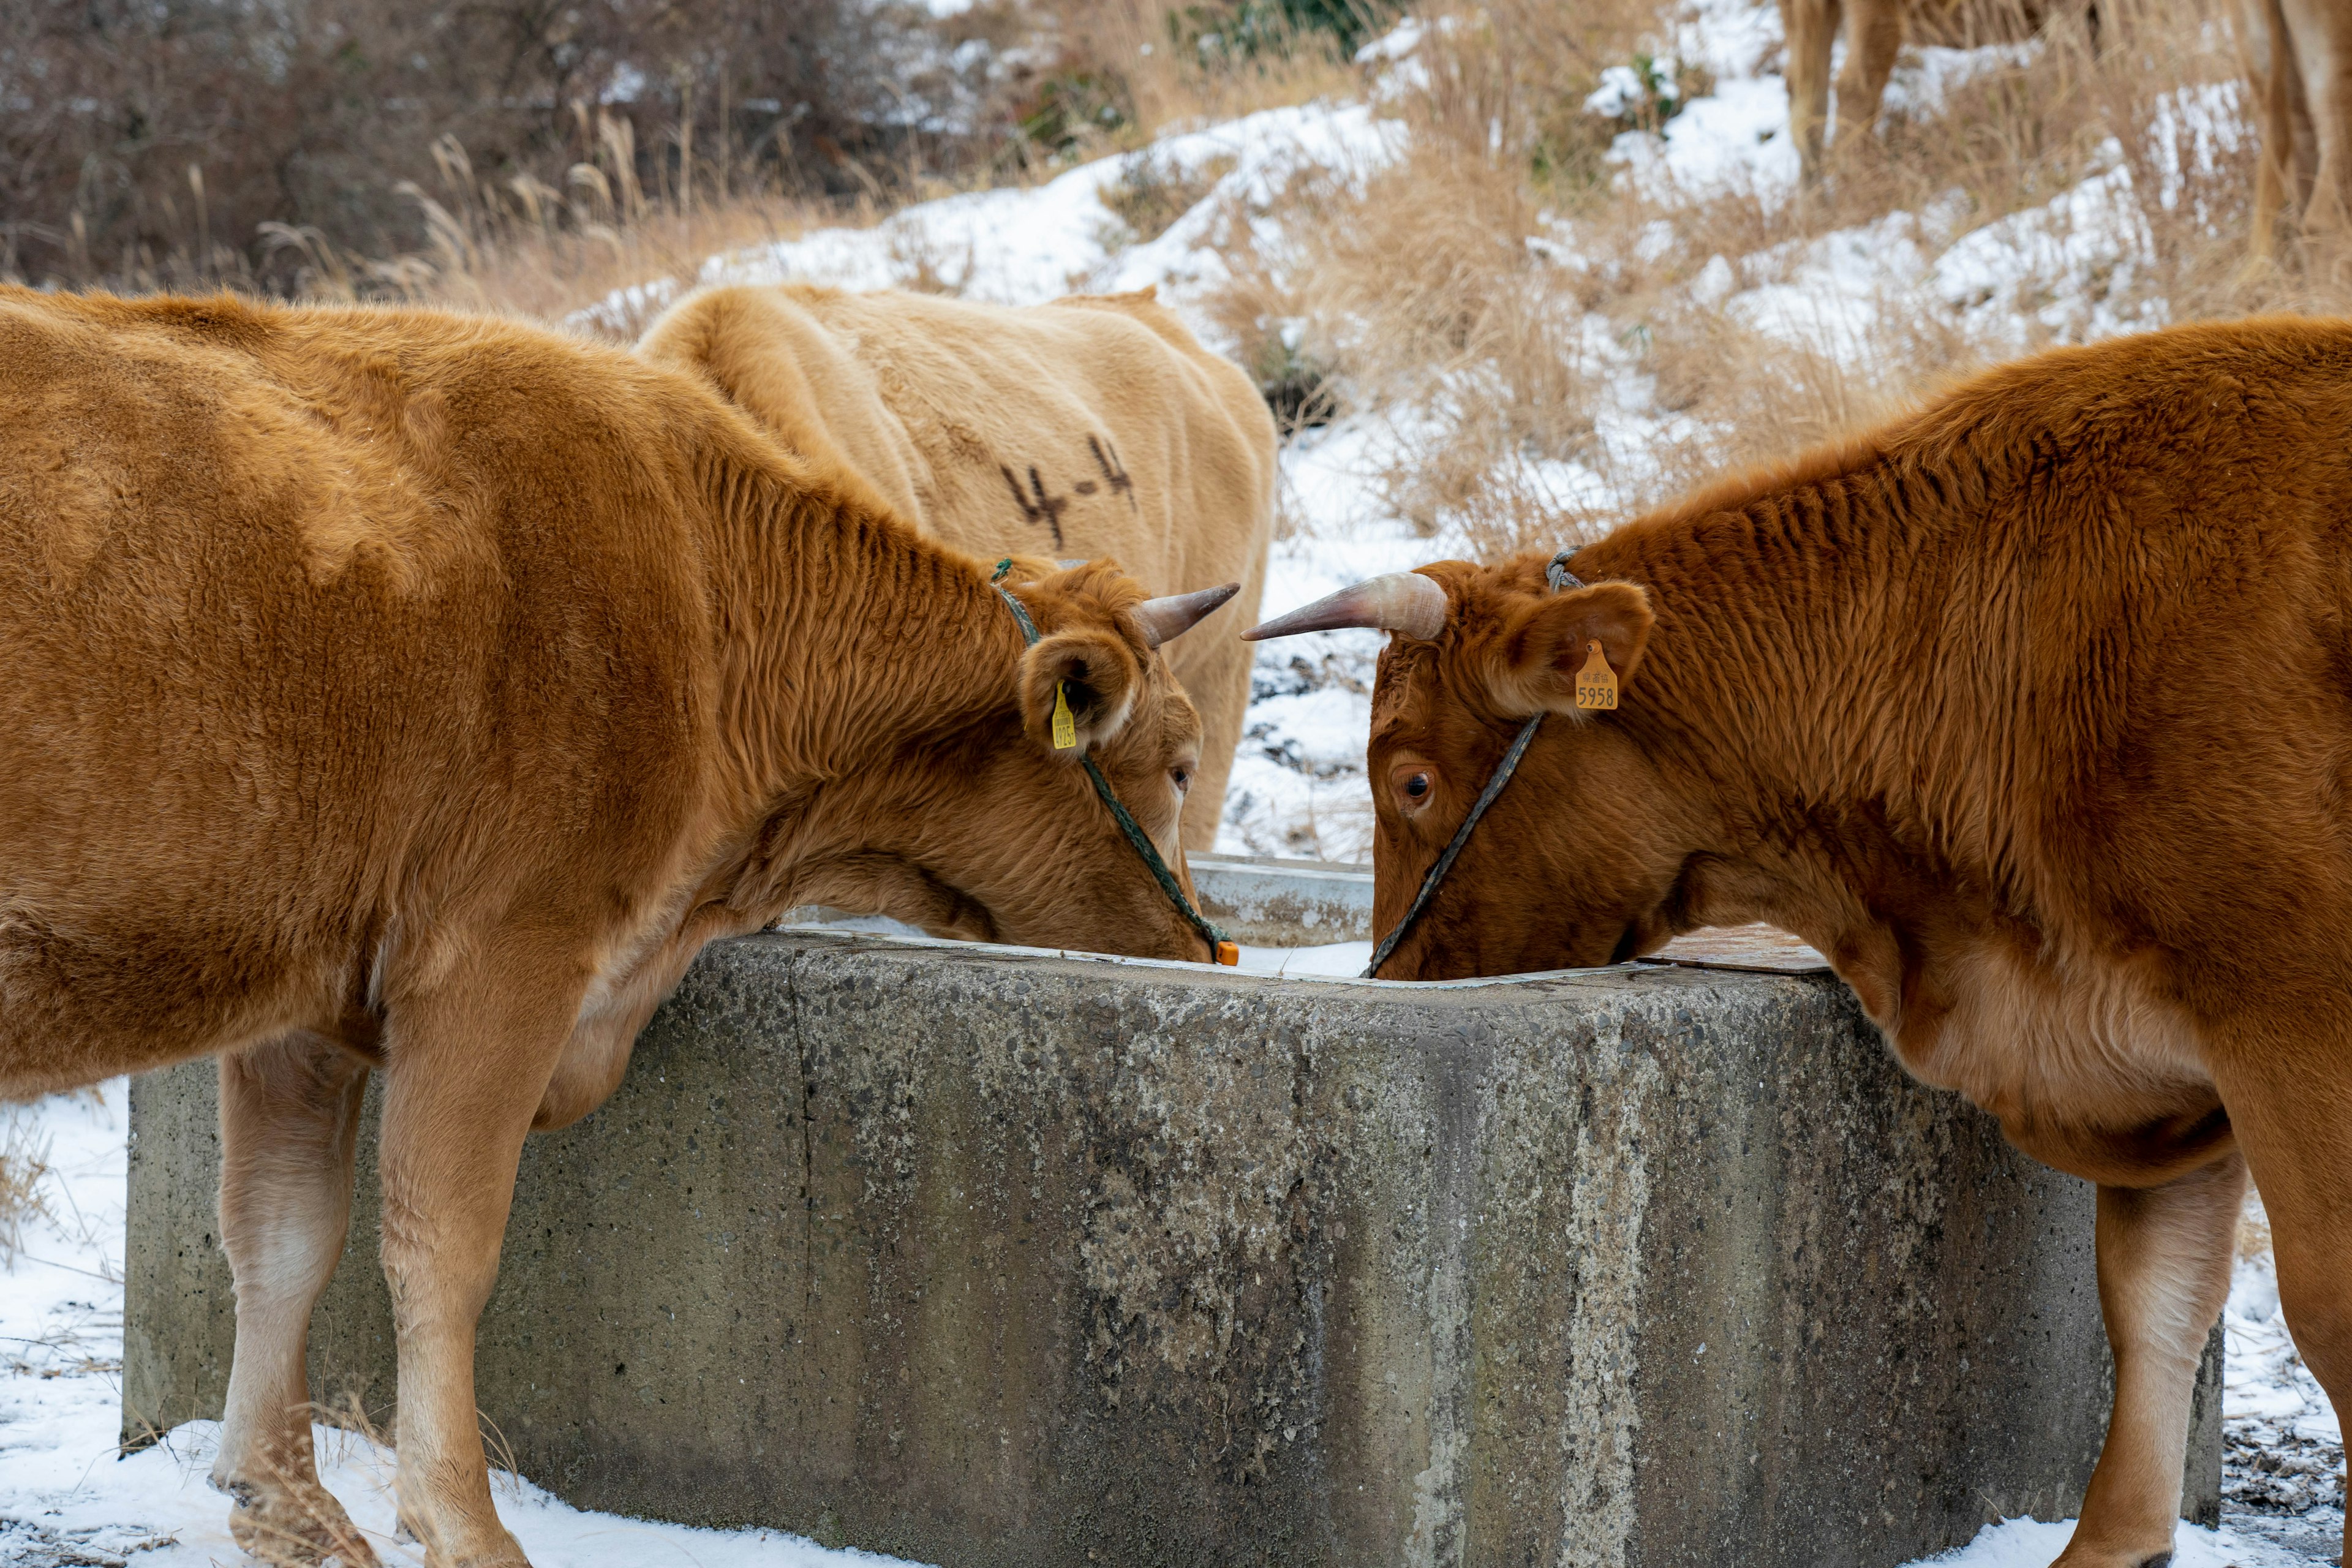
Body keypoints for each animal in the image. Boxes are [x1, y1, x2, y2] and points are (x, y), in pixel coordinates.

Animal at [1261, 319, 2352, 1568]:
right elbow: (2153, 1302)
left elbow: (2325, 1310)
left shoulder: (2289, 1022)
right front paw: (2112, 1541)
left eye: (1412, 780)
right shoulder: (2164, 1052)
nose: (1392, 974)